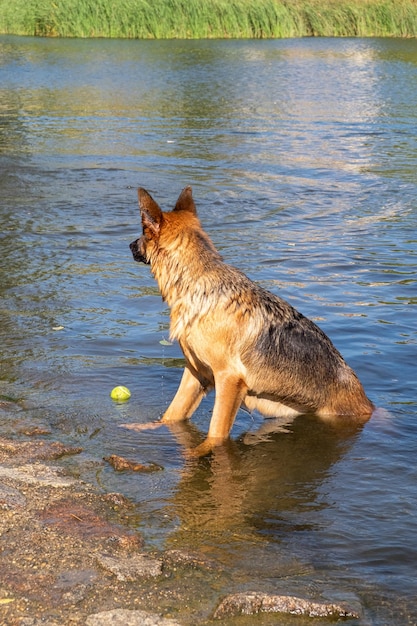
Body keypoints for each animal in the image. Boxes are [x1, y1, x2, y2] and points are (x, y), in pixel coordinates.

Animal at [127, 185, 374, 454]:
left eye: (143, 231)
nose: (129, 245)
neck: (197, 283)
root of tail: (369, 405)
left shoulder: (229, 380)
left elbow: (216, 432)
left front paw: (204, 450)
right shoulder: (196, 373)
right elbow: (172, 414)